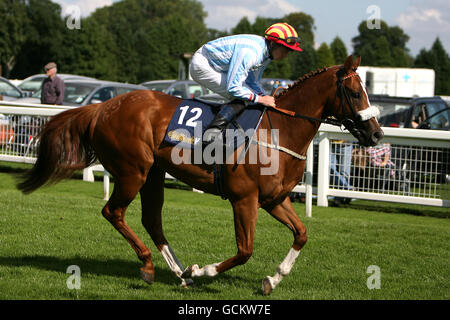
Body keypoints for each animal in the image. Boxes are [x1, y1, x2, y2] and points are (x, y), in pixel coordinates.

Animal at [17, 54, 384, 296]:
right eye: (355, 93)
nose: (377, 134)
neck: (280, 130)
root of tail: (102, 107)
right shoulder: (244, 199)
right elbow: (244, 251)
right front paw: (204, 269)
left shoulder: (274, 199)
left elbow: (302, 234)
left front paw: (272, 279)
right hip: (133, 171)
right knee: (114, 211)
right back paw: (151, 266)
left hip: (153, 173)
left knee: (152, 220)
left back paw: (180, 274)